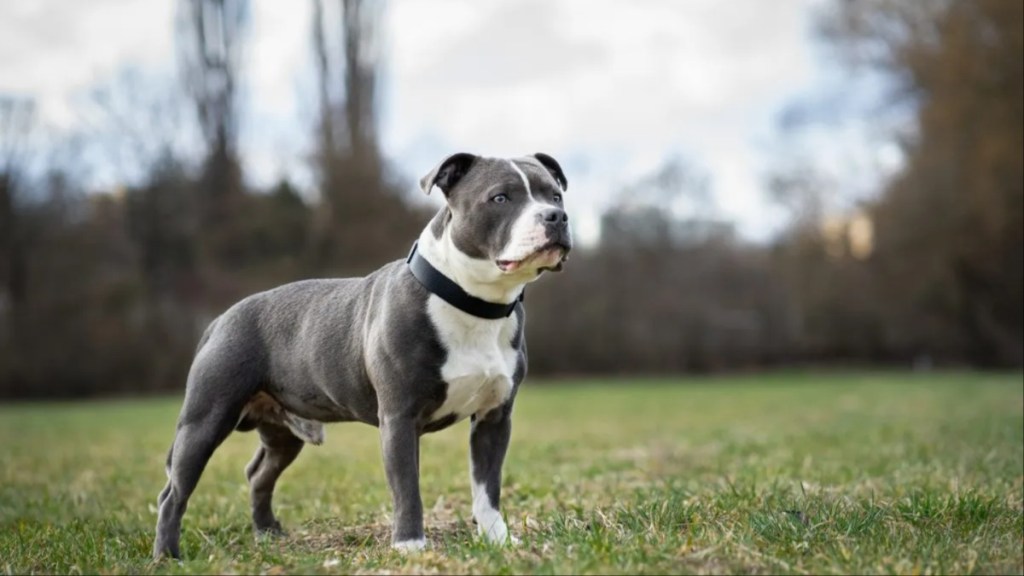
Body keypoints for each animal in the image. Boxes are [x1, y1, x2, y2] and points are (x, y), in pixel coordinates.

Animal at [151, 151, 573, 557]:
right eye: (500, 198)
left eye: (555, 195)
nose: (557, 216)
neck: (473, 302)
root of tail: (219, 319)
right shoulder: (399, 418)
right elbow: (407, 488)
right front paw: (410, 546)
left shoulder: (493, 418)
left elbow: (487, 489)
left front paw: (498, 541)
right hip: (205, 420)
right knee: (174, 492)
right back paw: (168, 555)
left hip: (282, 432)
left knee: (259, 474)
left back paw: (268, 534)